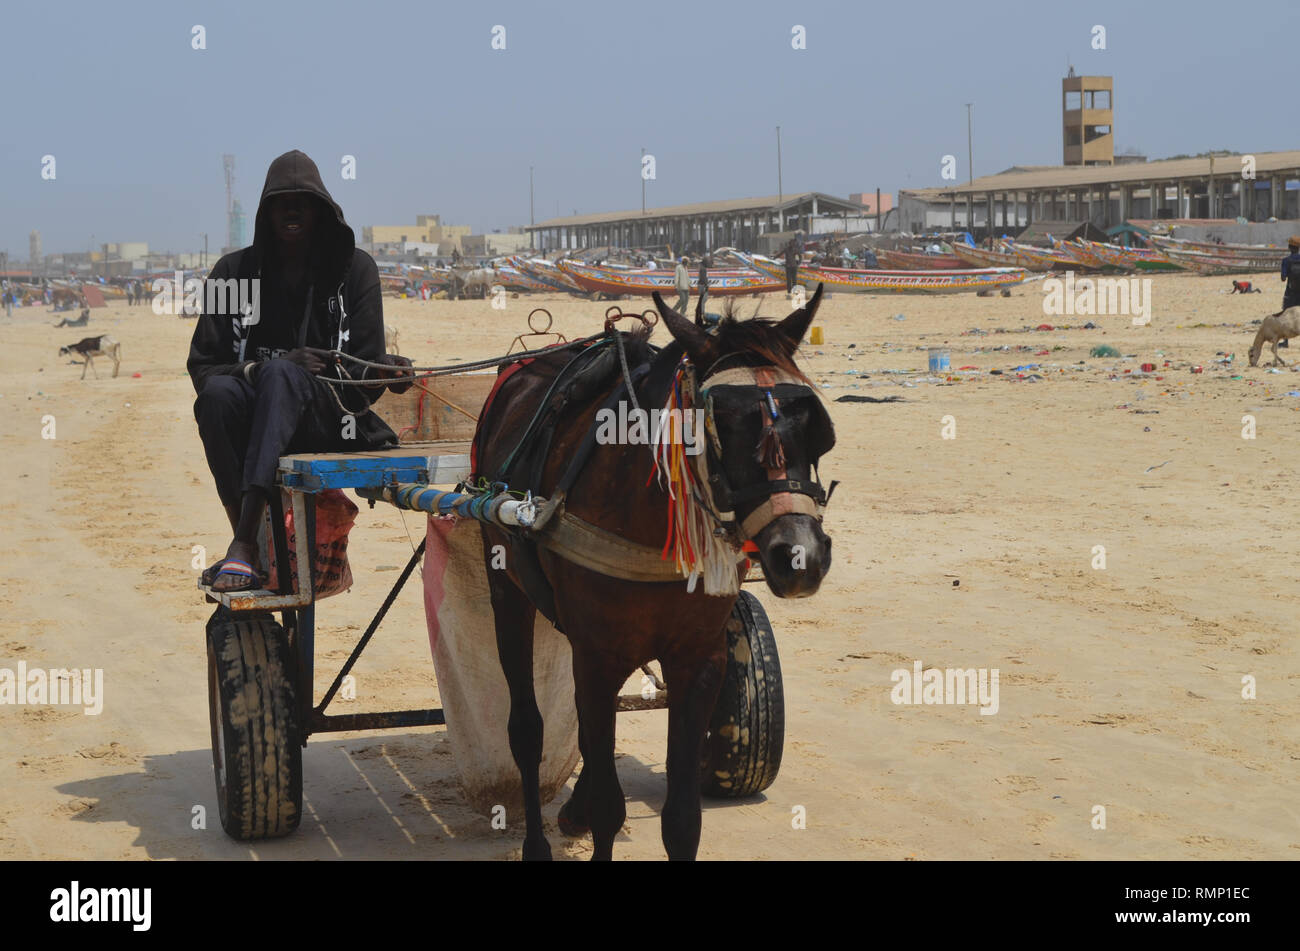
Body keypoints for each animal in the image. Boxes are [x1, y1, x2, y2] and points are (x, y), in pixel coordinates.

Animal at [475, 285, 832, 857]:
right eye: (720, 424)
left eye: (812, 425)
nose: (799, 555)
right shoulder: (597, 656)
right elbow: (608, 804)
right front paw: (589, 811)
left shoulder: (697, 660)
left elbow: (682, 818)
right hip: (508, 587)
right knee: (527, 729)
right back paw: (536, 839)